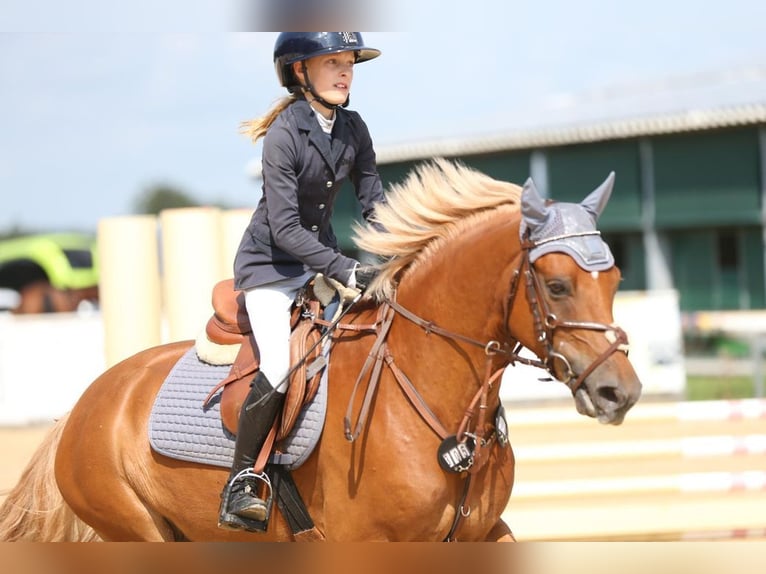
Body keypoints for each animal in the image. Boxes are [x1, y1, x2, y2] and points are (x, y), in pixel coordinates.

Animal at [1, 160, 640, 544]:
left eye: (614, 279)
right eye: (556, 286)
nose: (621, 392)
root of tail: (84, 406)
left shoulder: (482, 535)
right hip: (139, 530)